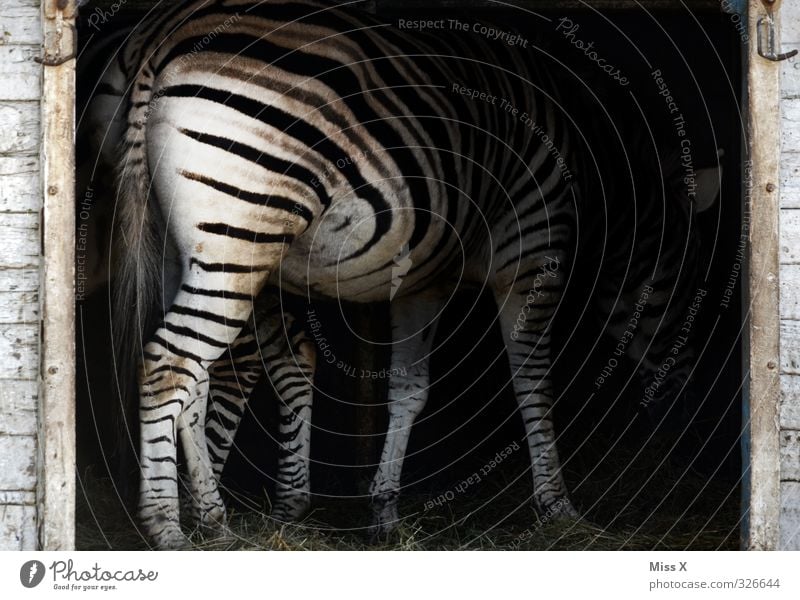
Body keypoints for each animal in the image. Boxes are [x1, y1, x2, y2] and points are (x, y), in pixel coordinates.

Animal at [106, 0, 720, 548]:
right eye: (693, 278)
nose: (689, 429)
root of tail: (164, 38)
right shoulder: (531, 251)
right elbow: (533, 384)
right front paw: (558, 508)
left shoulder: (424, 281)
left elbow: (408, 389)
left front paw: (384, 514)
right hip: (243, 232)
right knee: (168, 365)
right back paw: (167, 530)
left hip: (184, 245)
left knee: (198, 374)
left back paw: (214, 520)